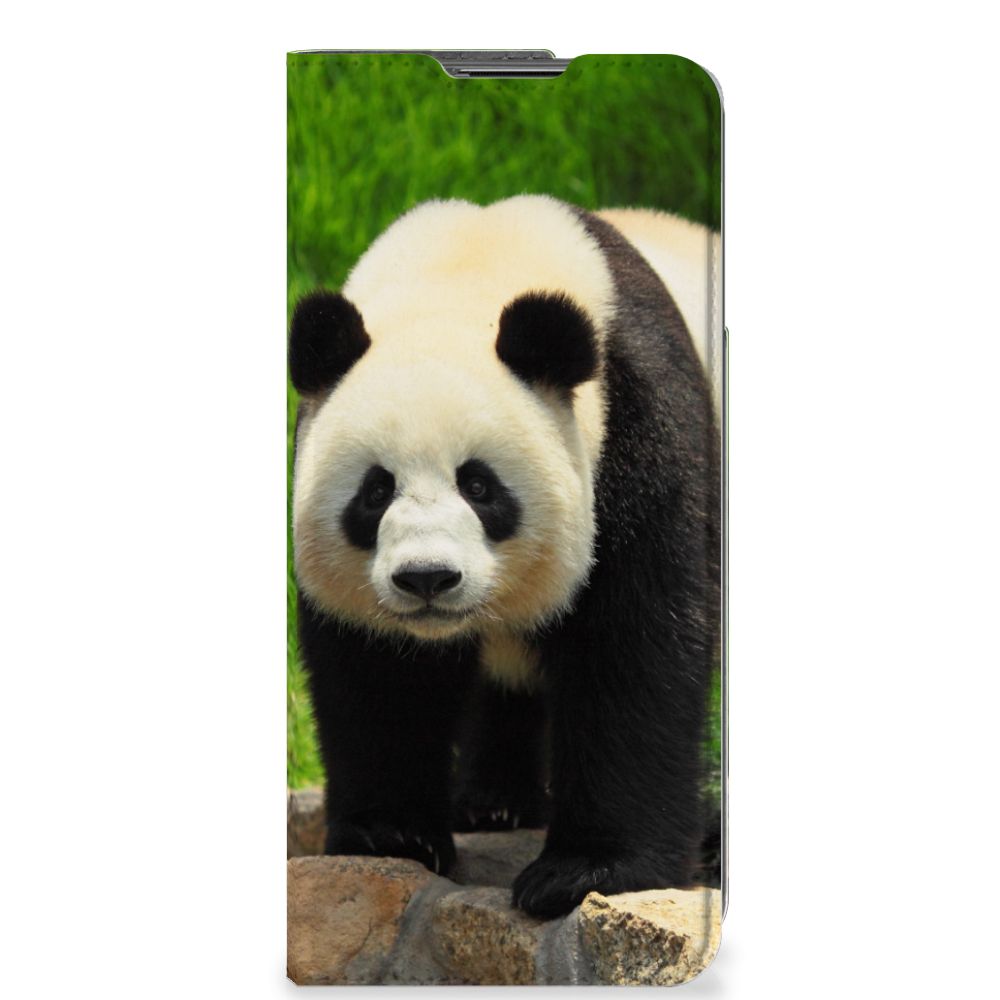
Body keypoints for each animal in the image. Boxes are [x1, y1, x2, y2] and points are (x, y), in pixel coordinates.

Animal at [289, 195, 721, 918]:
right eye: (375, 491)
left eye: (480, 485)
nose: (427, 578)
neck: (466, 267)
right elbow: (378, 673)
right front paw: (391, 834)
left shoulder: (641, 427)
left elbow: (634, 647)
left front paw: (586, 871)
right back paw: (493, 803)